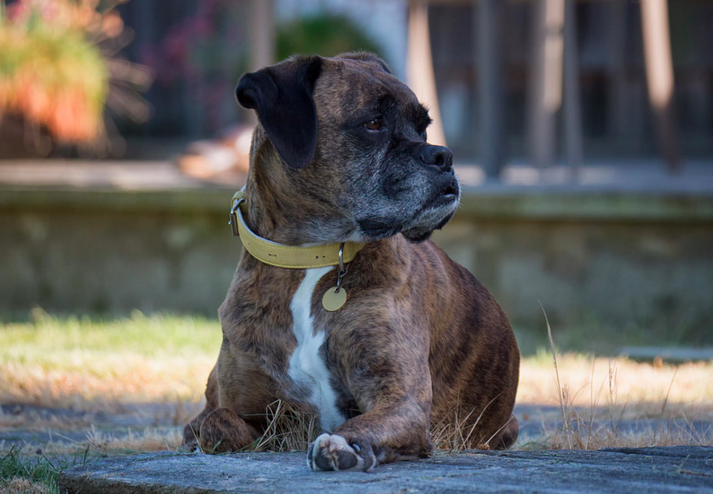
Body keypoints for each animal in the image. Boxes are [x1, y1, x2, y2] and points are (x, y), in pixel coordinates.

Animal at [182, 52, 516, 472]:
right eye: (373, 123)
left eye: (423, 128)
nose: (444, 156)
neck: (311, 257)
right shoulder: (239, 405)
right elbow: (213, 422)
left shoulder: (401, 400)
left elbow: (361, 422)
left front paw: (344, 443)